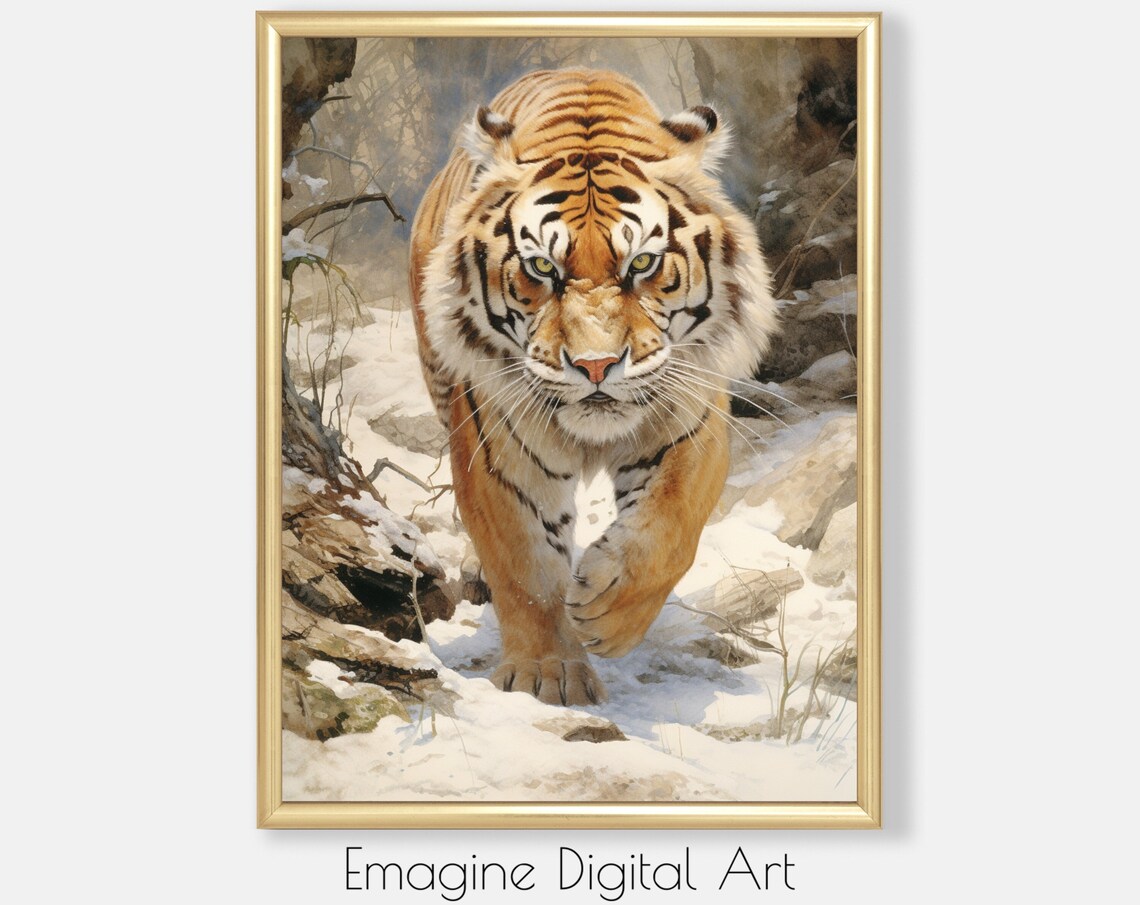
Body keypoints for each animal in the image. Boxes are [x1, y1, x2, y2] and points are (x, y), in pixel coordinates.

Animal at [409, 69, 777, 706]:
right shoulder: (498, 447)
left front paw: (607, 610)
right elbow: (525, 564)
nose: (598, 365)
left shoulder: (692, 421)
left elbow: (669, 528)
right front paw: (546, 674)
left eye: (642, 264)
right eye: (541, 268)